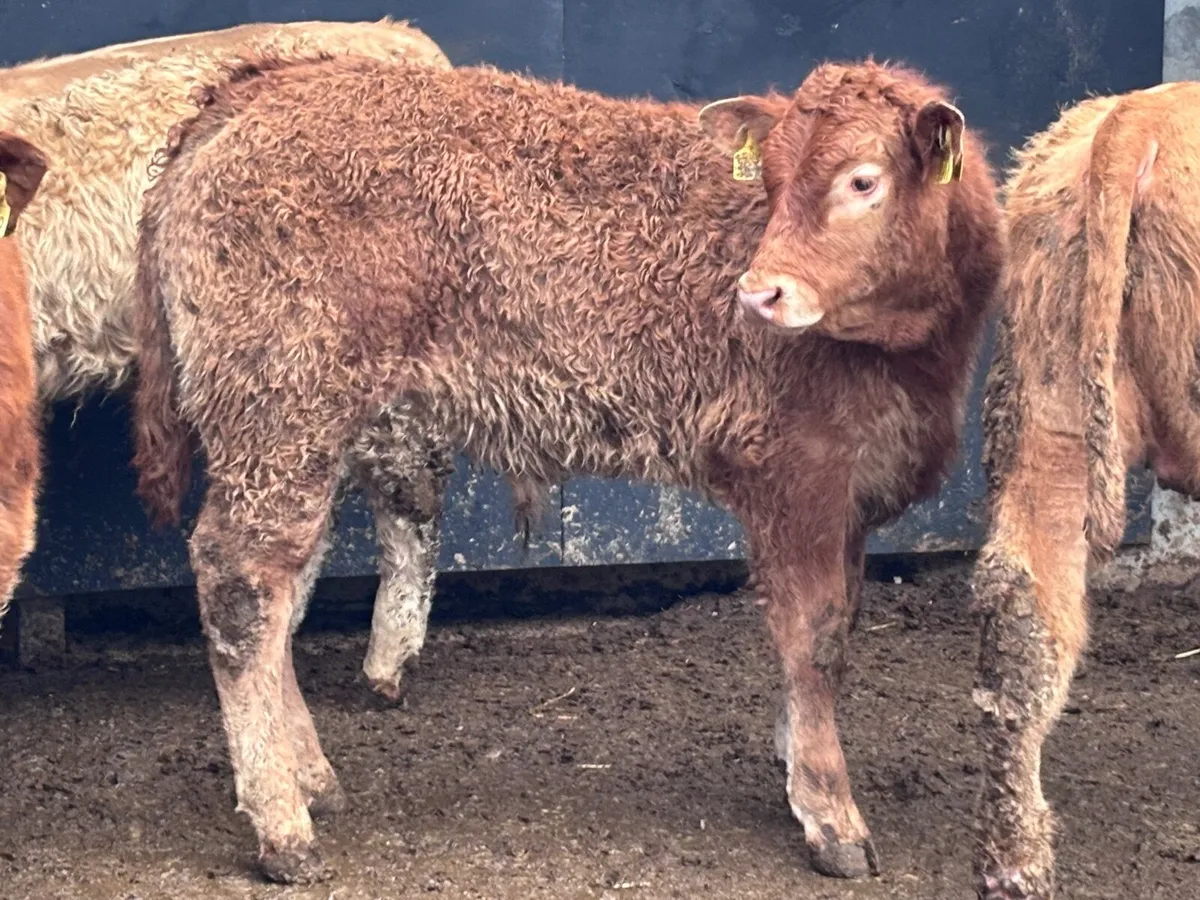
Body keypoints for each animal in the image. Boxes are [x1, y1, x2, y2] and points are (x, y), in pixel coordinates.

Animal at [131, 54, 1003, 883]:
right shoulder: (798, 475)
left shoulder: (851, 494)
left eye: (864, 179)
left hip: (303, 428)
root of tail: (256, 87)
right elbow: (814, 638)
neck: (914, 358)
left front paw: (793, 759)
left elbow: (839, 631)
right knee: (241, 584)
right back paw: (282, 826)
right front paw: (829, 811)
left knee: (284, 583)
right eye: (772, 179)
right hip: (280, 406)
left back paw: (311, 777)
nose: (760, 293)